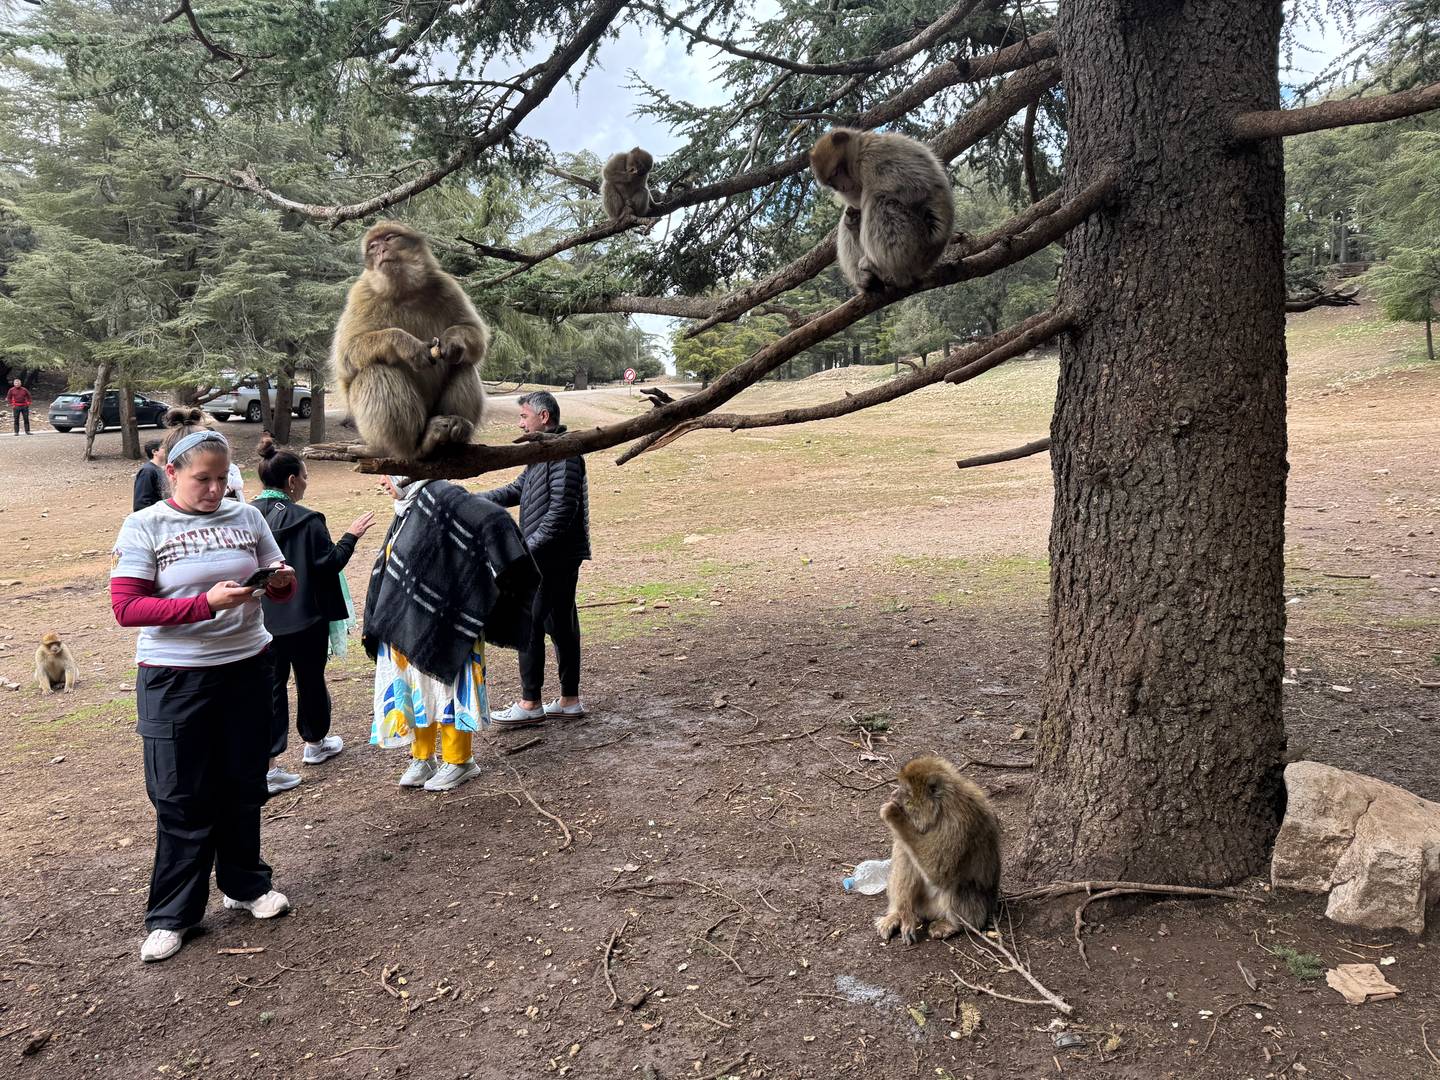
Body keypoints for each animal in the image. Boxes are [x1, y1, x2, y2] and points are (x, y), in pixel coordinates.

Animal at [331, 221, 490, 459]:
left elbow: (475, 339)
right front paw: (406, 345)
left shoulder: (447, 285)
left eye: (389, 238)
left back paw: (456, 430)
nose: (380, 250)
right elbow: (346, 357)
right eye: (372, 246)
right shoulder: (361, 294)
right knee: (376, 370)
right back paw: (416, 446)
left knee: (463, 365)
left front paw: (453, 340)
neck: (403, 291)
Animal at [809, 128, 954, 293]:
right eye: (831, 183)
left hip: (918, 244)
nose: (842, 187)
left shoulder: (872, 158)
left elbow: (913, 188)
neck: (860, 151)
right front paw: (852, 220)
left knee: (877, 200)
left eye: (836, 172)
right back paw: (865, 279)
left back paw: (886, 270)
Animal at [874, 755, 1001, 945]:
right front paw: (904, 915)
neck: (940, 809)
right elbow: (905, 850)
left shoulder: (957, 825)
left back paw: (954, 924)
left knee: (960, 886)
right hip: (921, 903)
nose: (893, 794)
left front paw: (893, 814)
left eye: (906, 791)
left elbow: (939, 871)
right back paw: (898, 914)